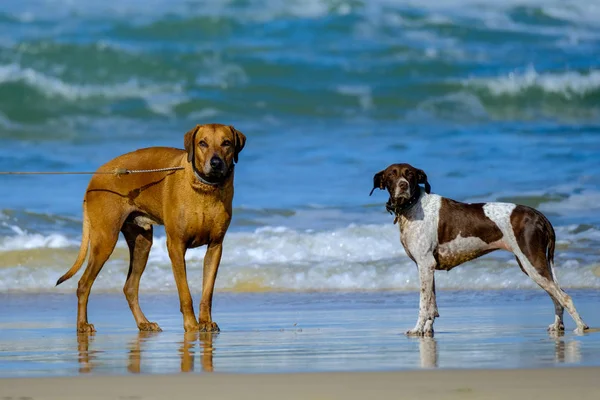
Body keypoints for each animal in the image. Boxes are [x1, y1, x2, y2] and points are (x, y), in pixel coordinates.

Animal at [55, 123, 244, 332]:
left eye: (226, 143)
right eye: (202, 143)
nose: (216, 163)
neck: (205, 188)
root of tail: (95, 177)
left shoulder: (215, 246)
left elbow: (208, 291)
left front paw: (205, 321)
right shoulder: (176, 246)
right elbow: (184, 292)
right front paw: (191, 324)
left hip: (142, 244)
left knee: (129, 287)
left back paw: (143, 322)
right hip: (105, 240)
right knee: (83, 284)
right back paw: (82, 324)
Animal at [368, 163, 588, 338]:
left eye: (410, 174)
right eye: (391, 175)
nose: (403, 185)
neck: (413, 206)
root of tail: (540, 216)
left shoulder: (425, 265)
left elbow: (424, 305)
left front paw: (417, 329)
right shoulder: (428, 269)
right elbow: (432, 305)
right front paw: (427, 330)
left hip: (532, 263)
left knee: (564, 297)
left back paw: (581, 327)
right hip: (533, 265)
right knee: (556, 296)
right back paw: (558, 326)